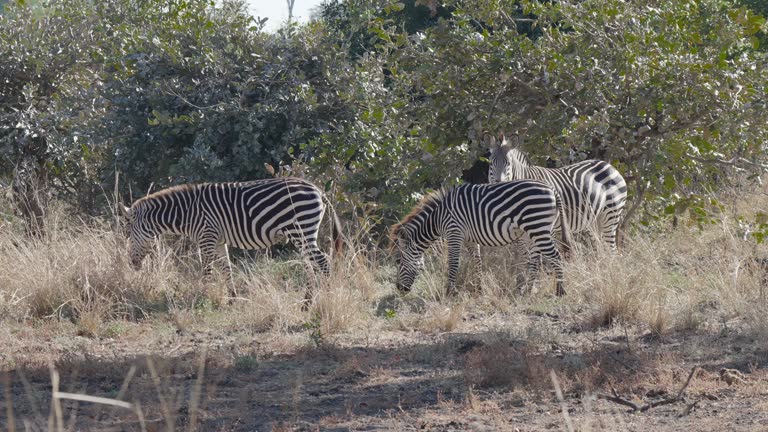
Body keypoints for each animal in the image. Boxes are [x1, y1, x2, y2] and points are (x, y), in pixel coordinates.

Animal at [119, 177, 342, 302]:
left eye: (128, 232)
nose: (131, 263)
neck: (187, 212)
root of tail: (317, 189)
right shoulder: (218, 241)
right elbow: (227, 269)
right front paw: (233, 298)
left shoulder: (206, 238)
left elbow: (207, 270)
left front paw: (202, 296)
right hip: (302, 235)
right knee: (311, 265)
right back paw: (307, 303)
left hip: (301, 230)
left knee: (322, 262)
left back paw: (328, 298)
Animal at [390, 180, 568, 296]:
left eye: (398, 261)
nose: (399, 289)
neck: (438, 218)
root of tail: (552, 189)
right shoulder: (469, 238)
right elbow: (477, 261)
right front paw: (479, 289)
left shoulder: (454, 232)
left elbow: (453, 263)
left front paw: (449, 292)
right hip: (532, 232)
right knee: (535, 260)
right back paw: (528, 290)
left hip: (537, 227)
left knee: (555, 256)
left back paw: (560, 291)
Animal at [488, 134, 628, 250]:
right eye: (491, 164)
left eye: (508, 164)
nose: (498, 182)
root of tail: (609, 165)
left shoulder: (544, 227)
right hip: (593, 221)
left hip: (611, 215)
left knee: (611, 250)